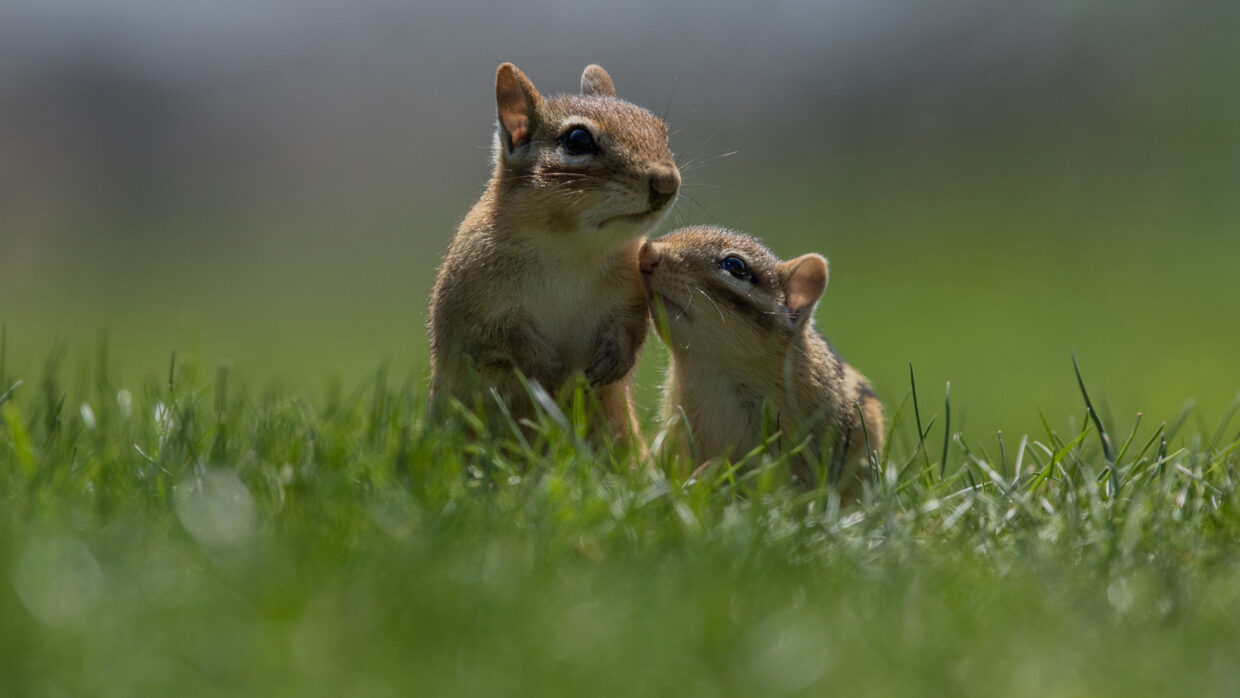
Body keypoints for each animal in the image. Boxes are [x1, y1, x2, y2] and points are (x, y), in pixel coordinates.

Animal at [428, 63, 680, 444]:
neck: (571, 248)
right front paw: (546, 369)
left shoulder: (631, 293)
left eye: (661, 131)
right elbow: (500, 335)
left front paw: (614, 359)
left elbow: (632, 326)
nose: (667, 182)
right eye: (577, 140)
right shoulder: (472, 304)